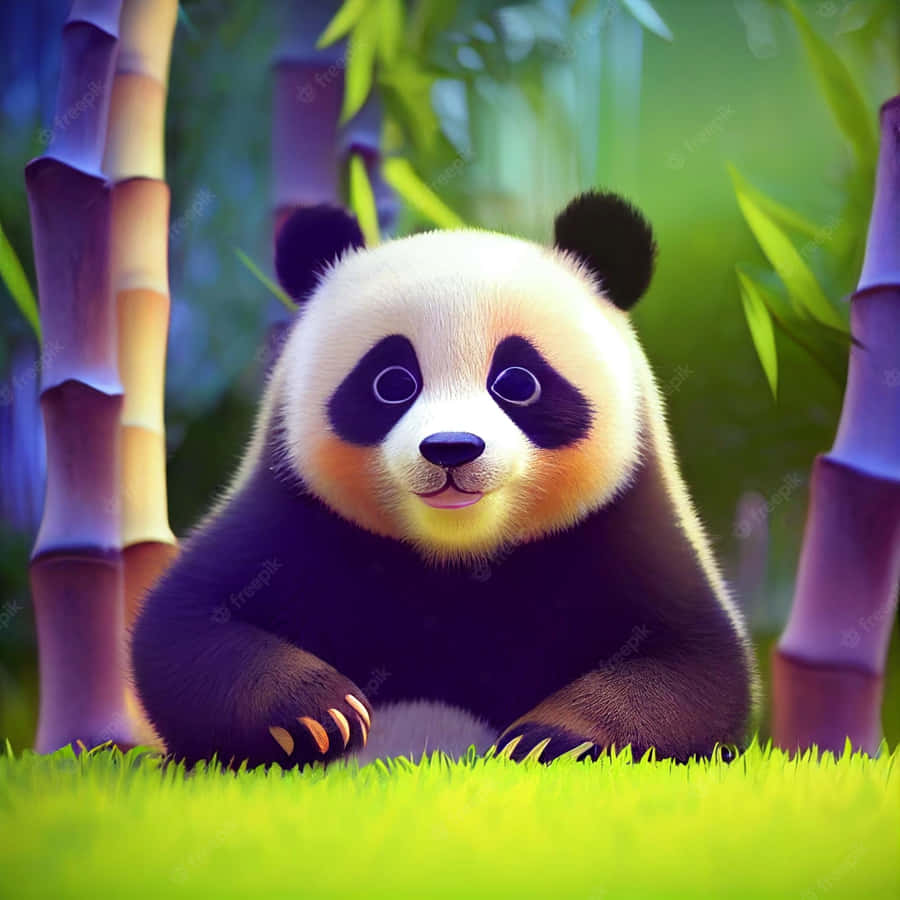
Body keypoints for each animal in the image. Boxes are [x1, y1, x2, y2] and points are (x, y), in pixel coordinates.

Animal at [132, 191, 759, 770]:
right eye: (391, 381)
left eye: (518, 380)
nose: (451, 449)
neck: (456, 555)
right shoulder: (294, 515)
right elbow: (185, 626)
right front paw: (317, 713)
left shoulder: (620, 524)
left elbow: (692, 667)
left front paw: (552, 740)